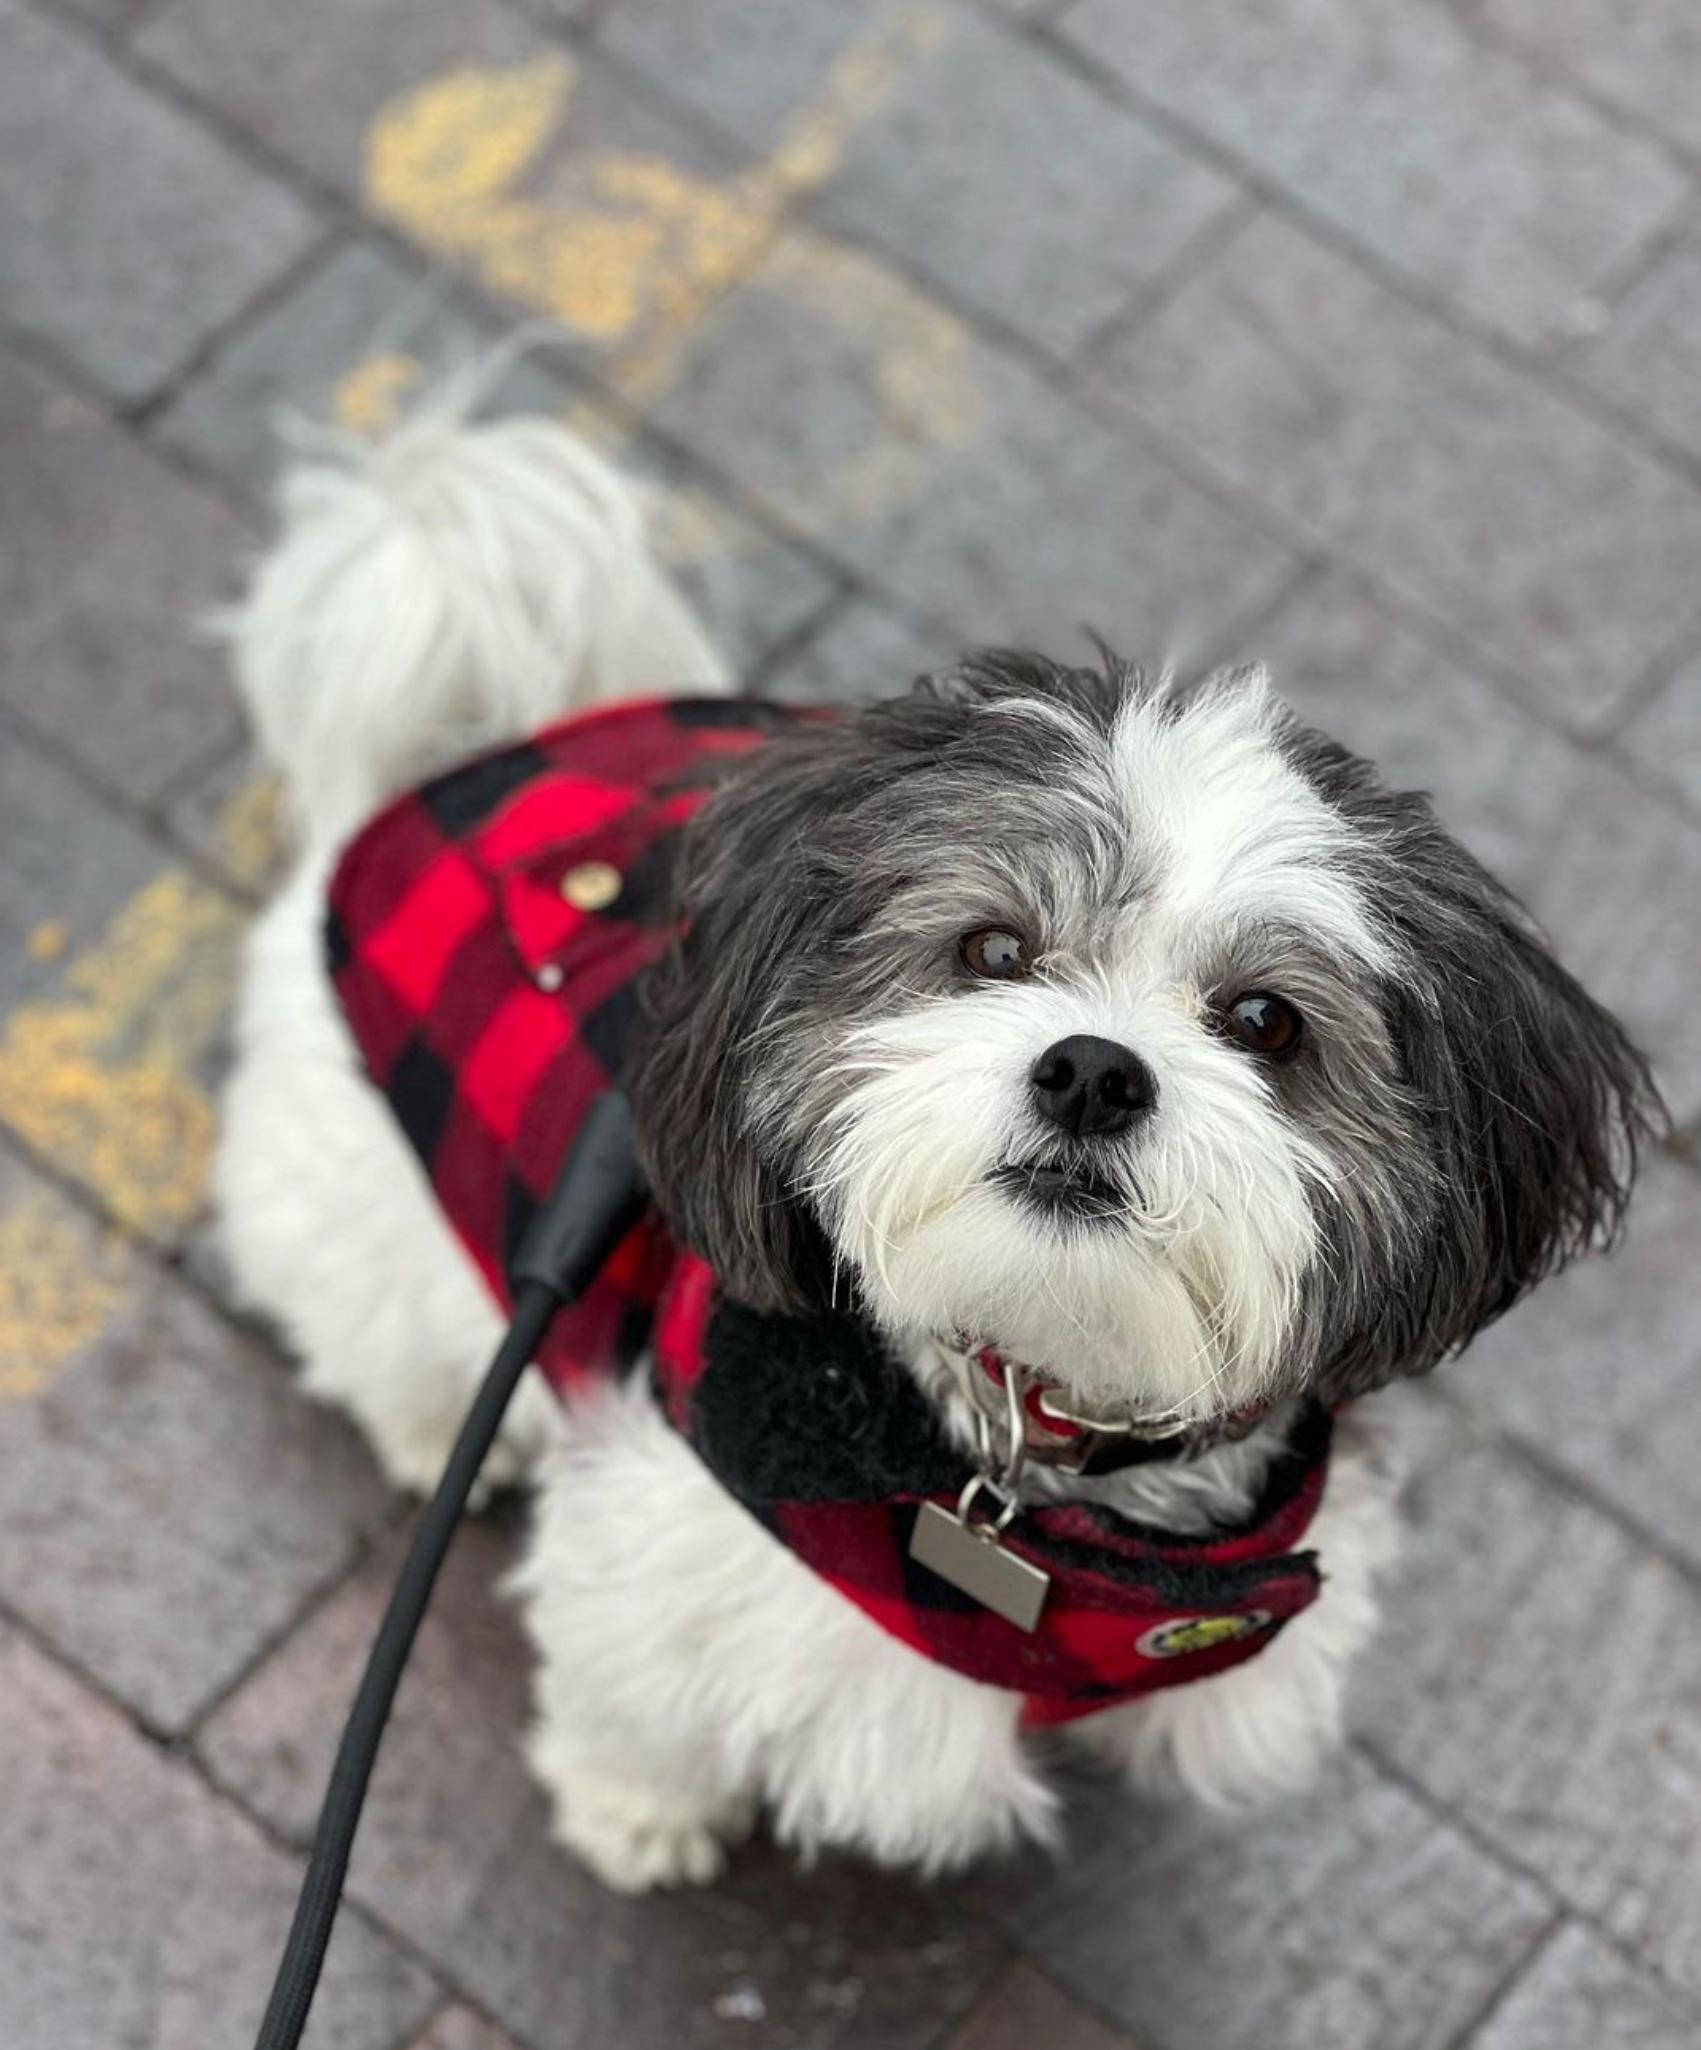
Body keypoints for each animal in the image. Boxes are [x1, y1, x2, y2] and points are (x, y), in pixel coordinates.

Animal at [216, 399, 1664, 1886]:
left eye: (1266, 1021)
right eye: (993, 950)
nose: (1093, 1073)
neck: (1033, 1475)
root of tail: (471, 753)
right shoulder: (668, 1546)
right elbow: (633, 1696)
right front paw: (638, 1812)